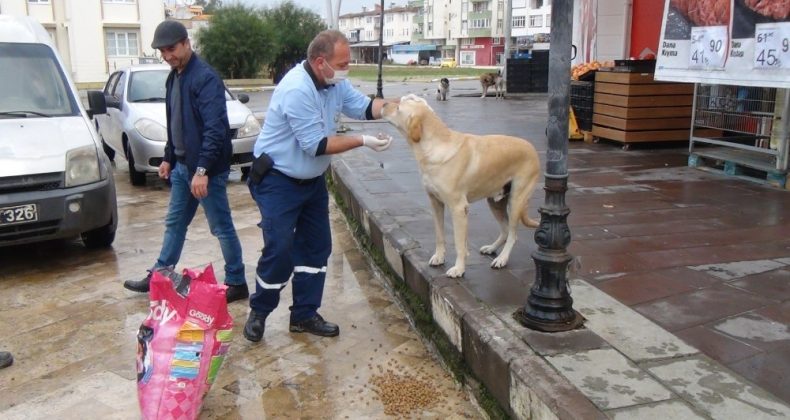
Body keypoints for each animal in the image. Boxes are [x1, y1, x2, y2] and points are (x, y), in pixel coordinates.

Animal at [380, 95, 540, 278]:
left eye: (399, 107)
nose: (383, 103)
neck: (433, 146)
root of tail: (531, 147)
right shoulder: (435, 202)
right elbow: (439, 235)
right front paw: (439, 257)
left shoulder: (458, 208)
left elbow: (459, 243)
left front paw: (459, 269)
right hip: (495, 202)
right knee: (505, 230)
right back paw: (491, 248)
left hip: (516, 201)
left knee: (513, 234)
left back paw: (502, 259)